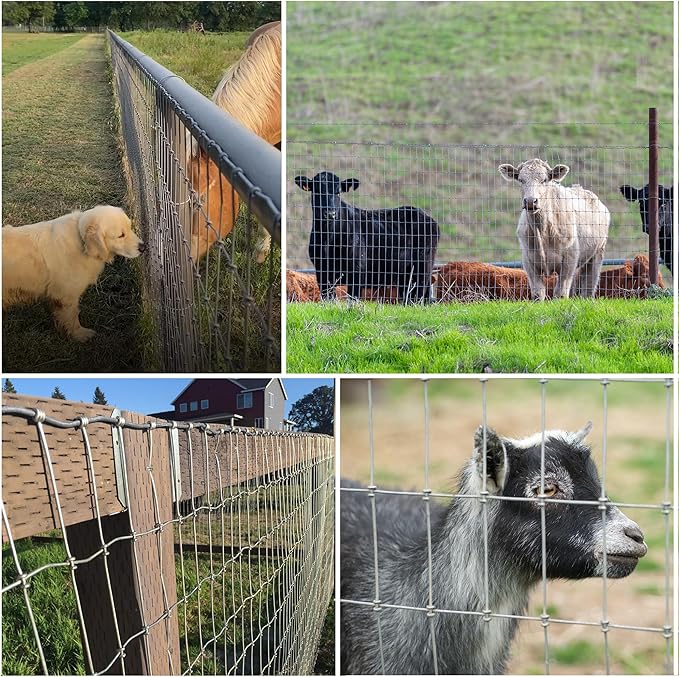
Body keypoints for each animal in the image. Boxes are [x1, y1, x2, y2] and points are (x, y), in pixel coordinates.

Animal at [294, 171, 440, 303]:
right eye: (316, 191)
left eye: (338, 192)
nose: (330, 213)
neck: (328, 239)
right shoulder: (322, 271)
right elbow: (328, 298)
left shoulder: (357, 269)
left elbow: (352, 299)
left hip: (423, 267)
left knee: (419, 295)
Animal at [499, 159, 610, 300]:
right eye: (520, 180)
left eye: (545, 180)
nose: (530, 201)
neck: (542, 232)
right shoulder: (528, 260)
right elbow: (538, 293)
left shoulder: (569, 259)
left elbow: (560, 293)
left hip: (597, 253)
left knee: (589, 287)